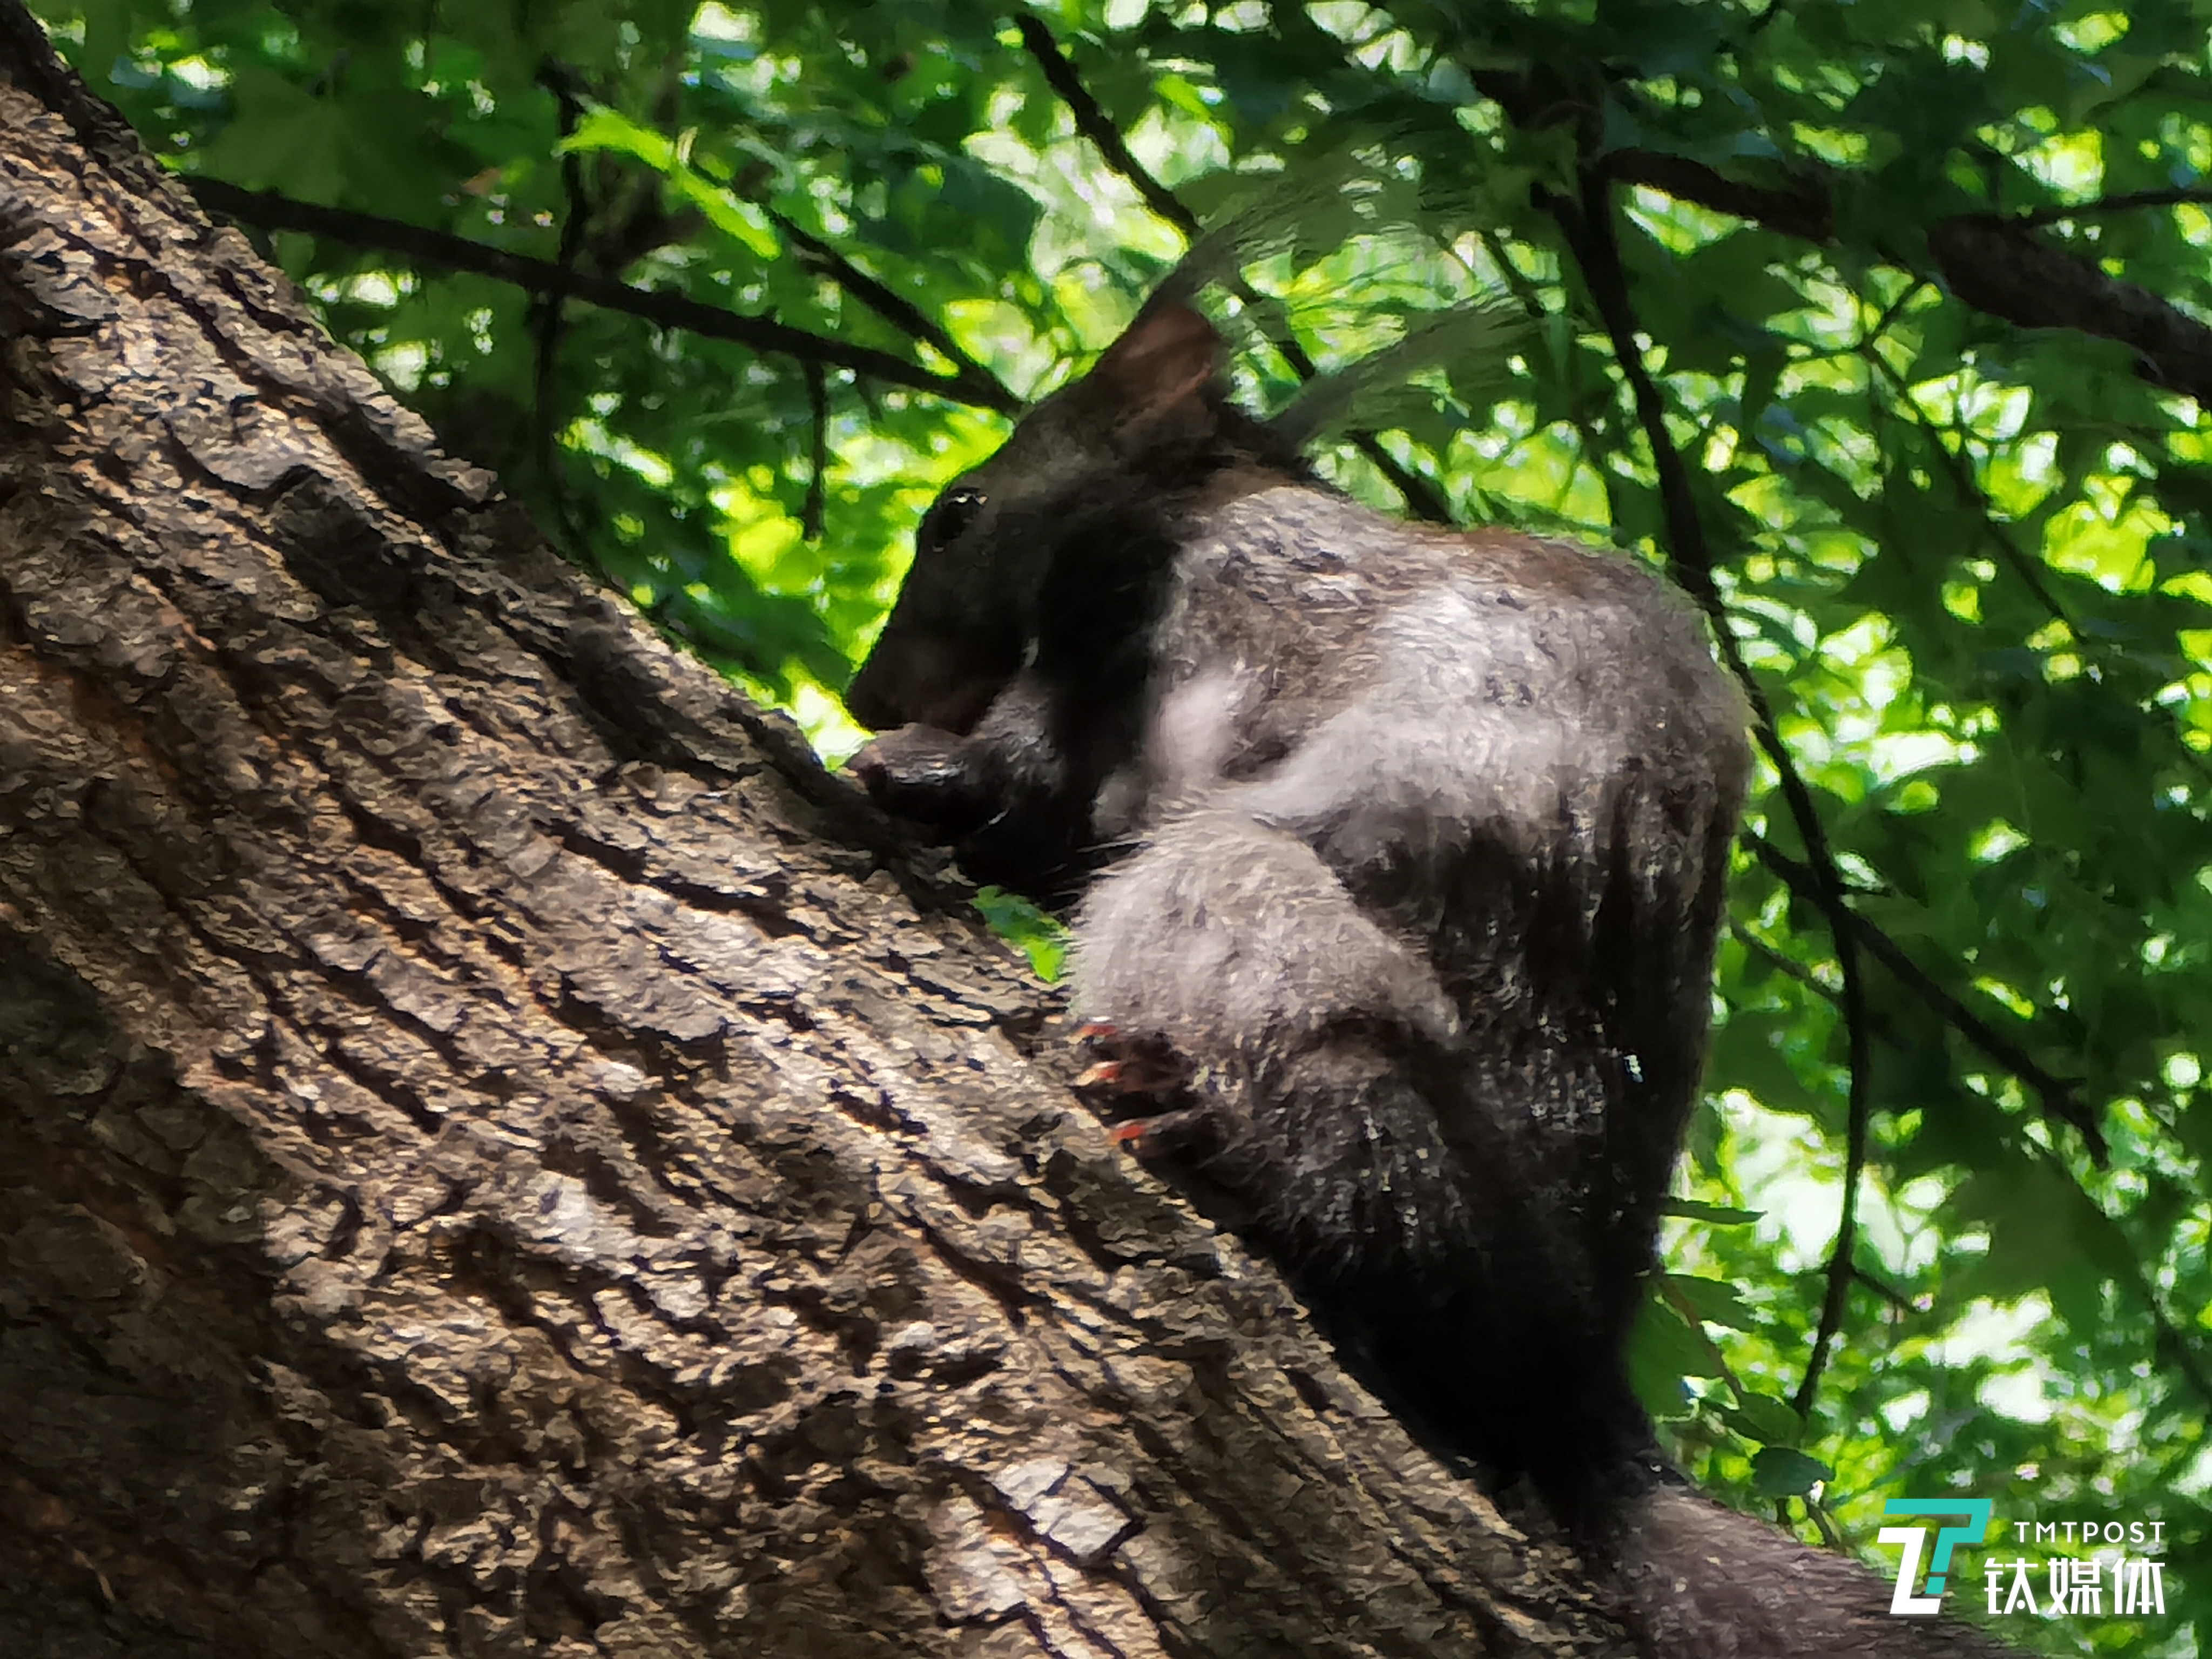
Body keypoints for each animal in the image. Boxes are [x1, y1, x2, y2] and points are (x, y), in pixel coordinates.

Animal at [840, 303, 2026, 1659]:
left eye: (956, 512)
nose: (866, 689)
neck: (1204, 500)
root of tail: (1574, 1383)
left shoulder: (1137, 644)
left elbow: (1031, 781)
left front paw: (910, 766)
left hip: (1259, 931)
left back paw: (1216, 1138)